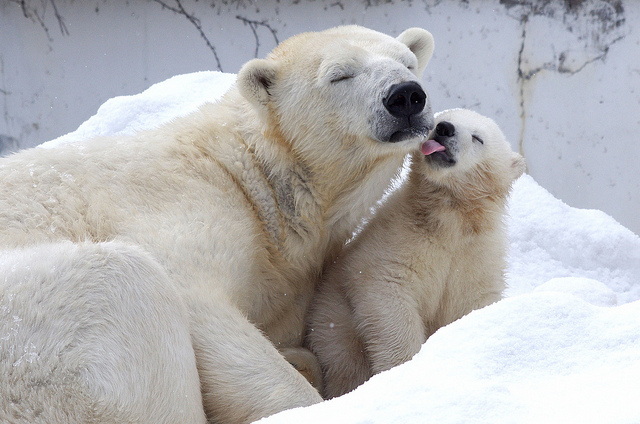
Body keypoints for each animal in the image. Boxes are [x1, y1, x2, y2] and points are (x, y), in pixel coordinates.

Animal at [0, 25, 436, 420]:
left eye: (407, 62)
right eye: (339, 74)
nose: (405, 96)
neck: (252, 175)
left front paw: (301, 357)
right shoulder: (182, 206)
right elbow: (200, 303)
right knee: (123, 280)